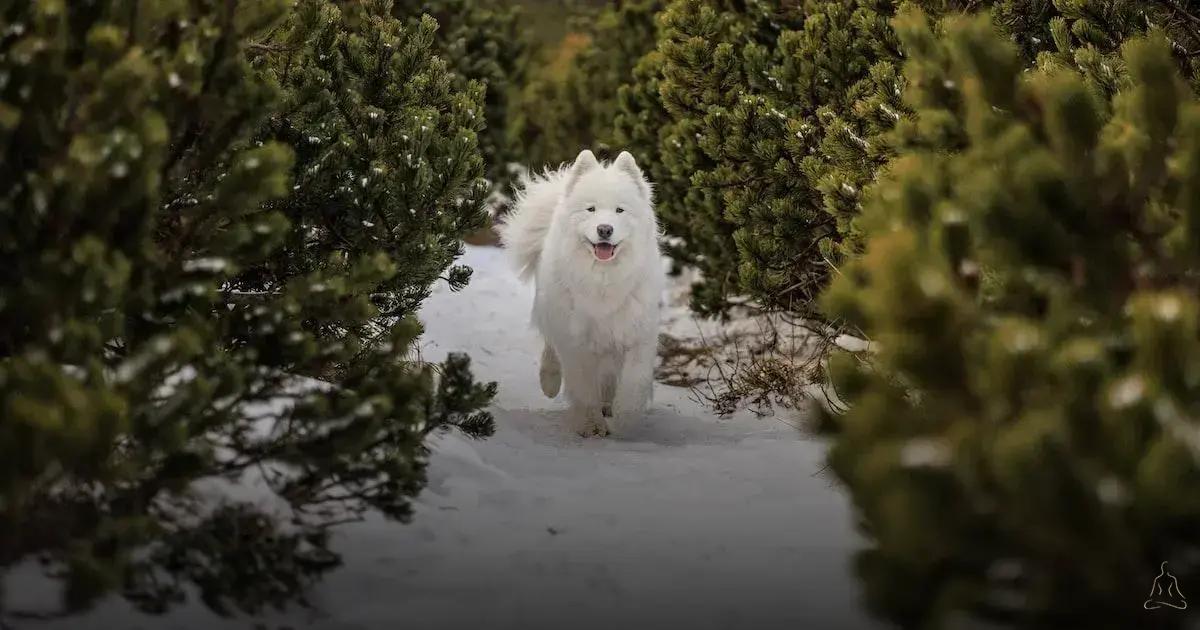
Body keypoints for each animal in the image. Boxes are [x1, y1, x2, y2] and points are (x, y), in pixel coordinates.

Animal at [496, 150, 667, 434]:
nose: (605, 229)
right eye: (591, 209)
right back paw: (550, 382)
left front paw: (624, 418)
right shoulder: (576, 341)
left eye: (619, 210)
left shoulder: (637, 332)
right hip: (551, 313)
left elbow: (635, 380)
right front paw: (591, 425)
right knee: (550, 351)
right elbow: (584, 387)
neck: (603, 280)